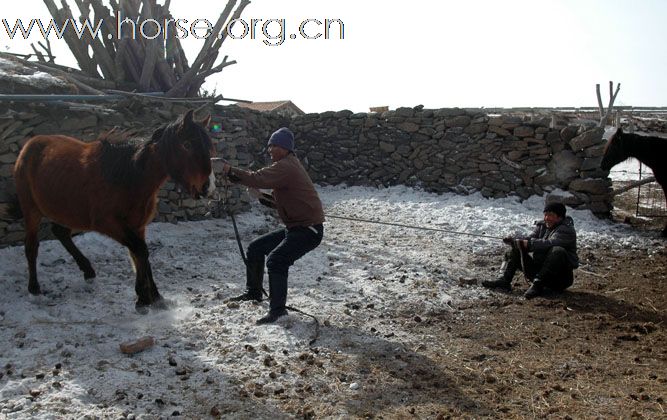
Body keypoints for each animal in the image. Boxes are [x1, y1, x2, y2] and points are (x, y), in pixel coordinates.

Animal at [13, 110, 217, 310]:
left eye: (209, 147)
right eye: (187, 144)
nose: (207, 187)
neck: (129, 177)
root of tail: (29, 145)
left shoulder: (138, 225)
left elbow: (140, 254)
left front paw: (154, 297)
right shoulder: (108, 223)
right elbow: (140, 251)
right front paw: (143, 297)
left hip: (69, 212)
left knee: (60, 232)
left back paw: (88, 271)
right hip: (32, 211)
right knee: (31, 246)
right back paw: (34, 289)